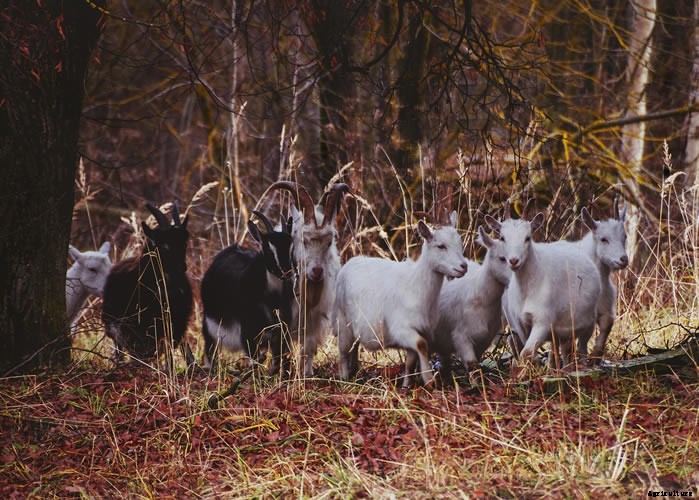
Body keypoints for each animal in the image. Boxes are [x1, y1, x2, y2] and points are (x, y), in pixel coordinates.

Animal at [200, 211, 295, 375]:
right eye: (267, 249)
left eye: (291, 247)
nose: (287, 272)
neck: (271, 298)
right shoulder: (247, 332)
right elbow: (256, 360)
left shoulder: (283, 330)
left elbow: (280, 360)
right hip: (208, 326)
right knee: (210, 350)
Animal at [268, 181, 349, 377]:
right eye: (303, 239)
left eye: (330, 241)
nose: (317, 271)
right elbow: (282, 346)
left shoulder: (314, 318)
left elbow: (309, 346)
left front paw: (307, 373)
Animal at [335, 212, 468, 387]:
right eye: (441, 246)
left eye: (459, 243)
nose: (463, 266)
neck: (415, 287)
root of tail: (348, 263)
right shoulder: (401, 329)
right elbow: (422, 345)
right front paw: (429, 379)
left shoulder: (419, 329)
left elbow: (411, 360)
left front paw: (406, 385)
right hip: (343, 320)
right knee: (343, 351)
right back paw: (344, 379)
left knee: (354, 347)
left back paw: (354, 372)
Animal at [487, 212, 601, 365]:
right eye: (502, 237)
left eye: (527, 238)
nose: (514, 261)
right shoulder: (520, 325)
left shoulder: (543, 320)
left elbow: (527, 353)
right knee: (559, 348)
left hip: (588, 322)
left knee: (579, 347)